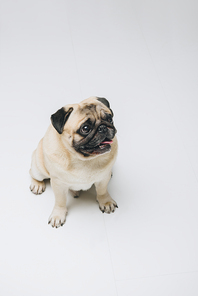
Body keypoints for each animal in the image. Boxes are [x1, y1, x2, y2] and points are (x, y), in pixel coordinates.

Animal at [29, 96, 117, 228]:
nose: (103, 127)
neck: (83, 160)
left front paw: (105, 202)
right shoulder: (58, 184)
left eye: (109, 119)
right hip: (39, 169)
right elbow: (60, 201)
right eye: (85, 128)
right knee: (33, 173)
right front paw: (58, 215)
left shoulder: (103, 179)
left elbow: (102, 191)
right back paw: (37, 185)